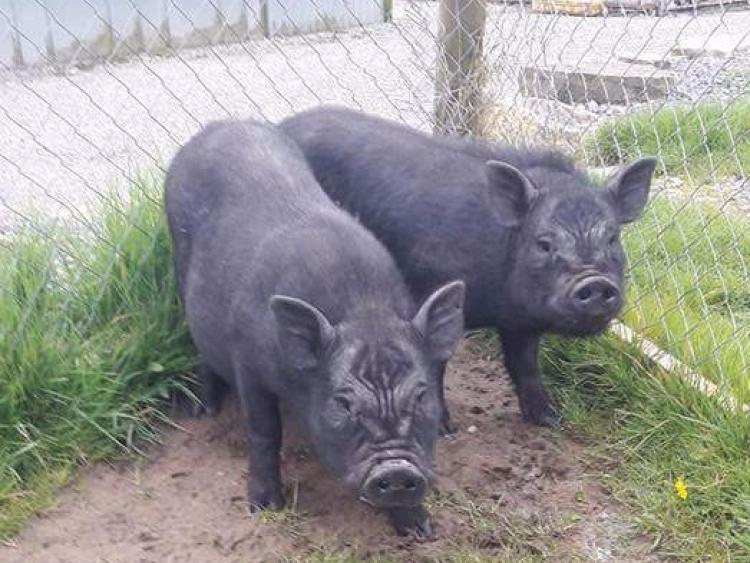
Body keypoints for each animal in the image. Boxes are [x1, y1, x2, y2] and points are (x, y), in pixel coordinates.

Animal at [164, 119, 465, 538]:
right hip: (179, 267)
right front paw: (263, 507)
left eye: (422, 396)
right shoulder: (248, 363)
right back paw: (203, 411)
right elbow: (264, 432)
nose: (396, 469)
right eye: (343, 402)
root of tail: (217, 126)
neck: (362, 309)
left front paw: (421, 530)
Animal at [280, 106, 656, 431]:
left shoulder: (520, 322)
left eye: (612, 238)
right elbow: (436, 364)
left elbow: (525, 364)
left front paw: (551, 421)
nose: (596, 283)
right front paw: (445, 429)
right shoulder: (431, 293)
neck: (498, 300)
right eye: (544, 243)